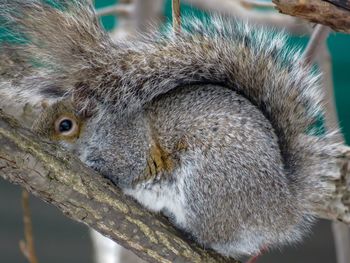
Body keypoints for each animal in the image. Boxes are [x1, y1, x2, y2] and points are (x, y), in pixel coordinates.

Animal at [0, 0, 340, 260]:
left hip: (209, 184)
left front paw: (92, 164)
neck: (101, 126)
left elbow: (124, 166)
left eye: (65, 125)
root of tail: (282, 209)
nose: (38, 137)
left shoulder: (127, 145)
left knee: (217, 235)